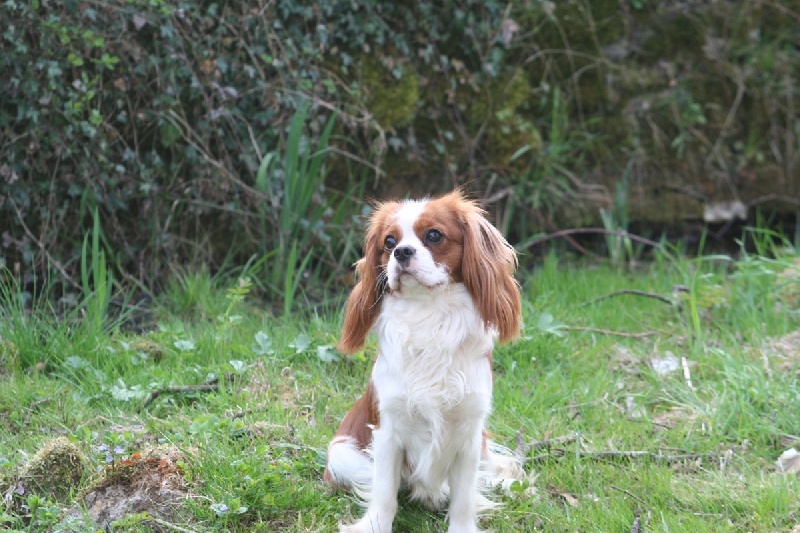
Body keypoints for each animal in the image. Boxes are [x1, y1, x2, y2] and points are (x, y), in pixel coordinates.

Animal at [324, 191, 524, 532]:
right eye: (389, 242)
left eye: (434, 235)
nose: (401, 252)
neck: (428, 314)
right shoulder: (387, 431)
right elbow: (385, 491)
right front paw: (375, 525)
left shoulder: (470, 433)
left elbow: (464, 496)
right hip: (340, 455)